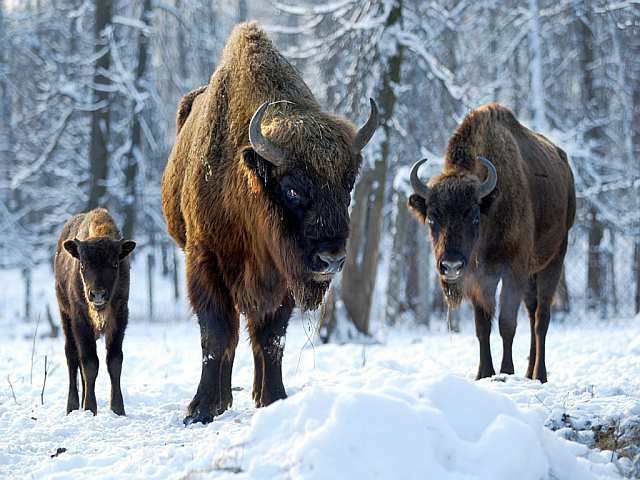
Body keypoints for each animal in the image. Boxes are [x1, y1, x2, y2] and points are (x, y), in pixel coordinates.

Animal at [54, 208, 136, 414]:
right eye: (83, 264)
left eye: (115, 264)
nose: (98, 294)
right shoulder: (80, 320)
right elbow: (90, 363)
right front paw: (90, 408)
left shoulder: (120, 317)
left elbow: (114, 361)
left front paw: (118, 409)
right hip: (65, 316)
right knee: (72, 356)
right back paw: (72, 406)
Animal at [162, 21, 378, 424]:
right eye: (292, 188)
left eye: (348, 184)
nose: (331, 259)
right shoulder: (204, 259)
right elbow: (216, 333)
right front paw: (200, 409)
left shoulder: (283, 275)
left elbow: (271, 336)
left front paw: (273, 399)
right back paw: (222, 399)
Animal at [408, 104, 576, 382]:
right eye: (432, 218)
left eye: (474, 216)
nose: (451, 266)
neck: (491, 207)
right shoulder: (479, 278)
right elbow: (482, 326)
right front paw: (483, 373)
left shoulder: (512, 270)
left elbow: (506, 324)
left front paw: (506, 371)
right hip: (531, 274)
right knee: (532, 312)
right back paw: (529, 373)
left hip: (554, 259)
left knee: (541, 317)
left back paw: (539, 375)